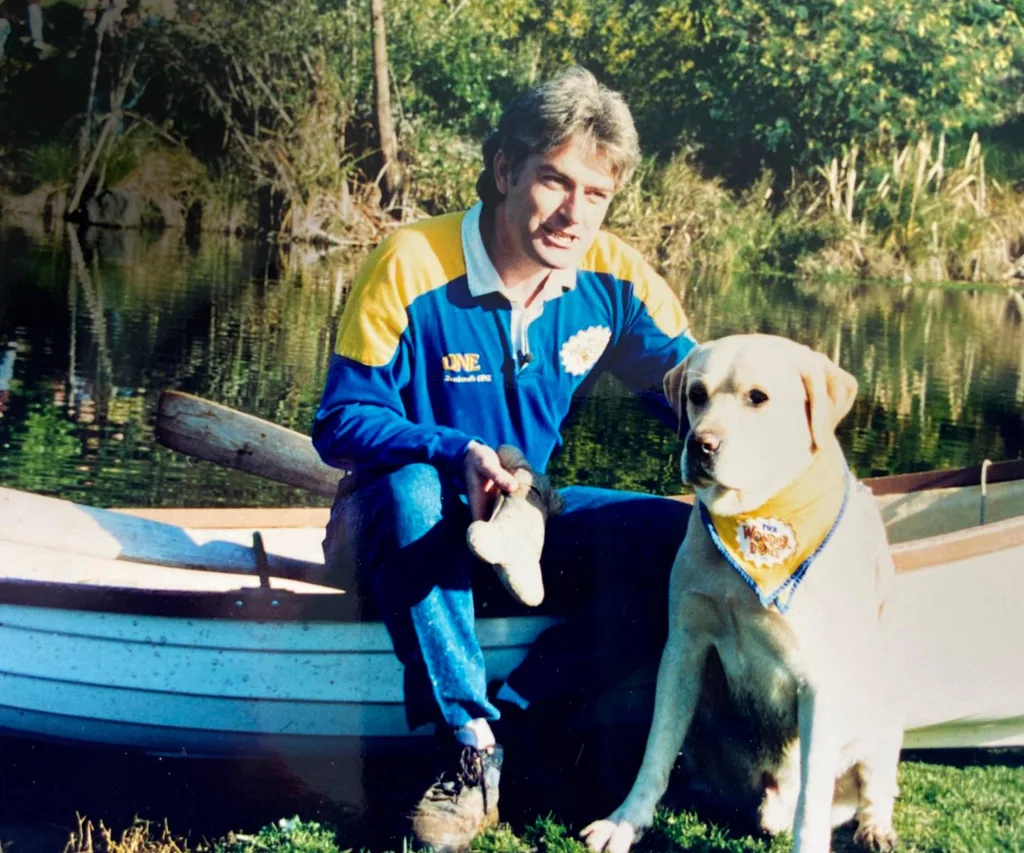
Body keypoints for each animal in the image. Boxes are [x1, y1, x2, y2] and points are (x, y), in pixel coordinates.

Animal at [581, 334, 902, 853]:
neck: (754, 520)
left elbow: (813, 800)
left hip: (884, 705)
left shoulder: (821, 679)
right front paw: (625, 822)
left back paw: (875, 828)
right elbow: (654, 753)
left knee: (874, 784)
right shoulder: (683, 649)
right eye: (696, 395)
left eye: (758, 397)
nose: (701, 444)